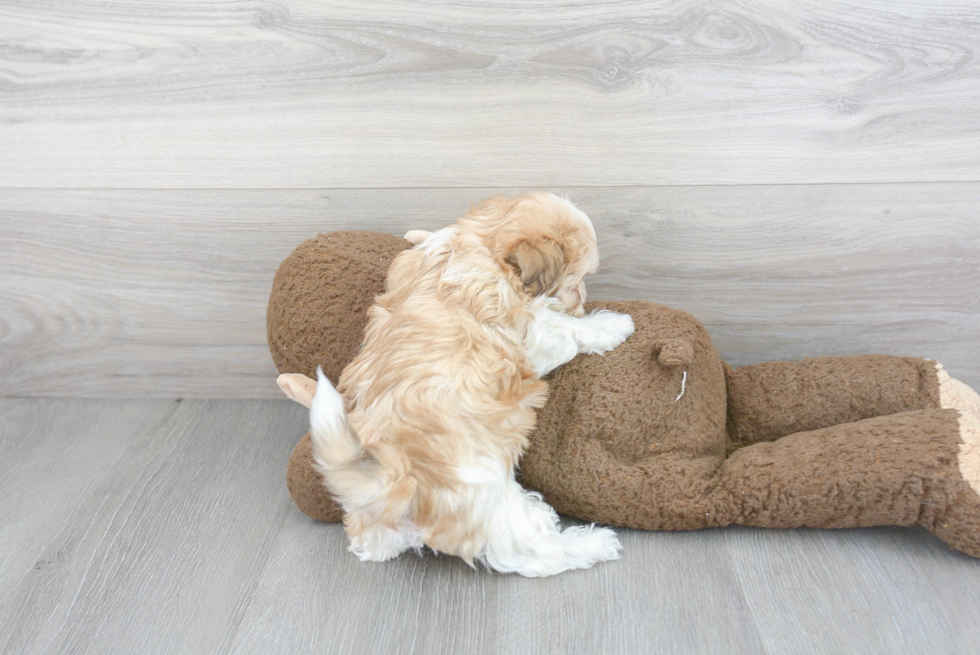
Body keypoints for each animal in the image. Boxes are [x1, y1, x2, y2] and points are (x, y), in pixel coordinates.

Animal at [310, 192, 640, 576]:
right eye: (577, 281)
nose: (584, 301)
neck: (481, 243)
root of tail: (395, 485)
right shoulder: (528, 334)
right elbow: (568, 330)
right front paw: (614, 325)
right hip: (490, 500)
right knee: (532, 550)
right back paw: (592, 543)